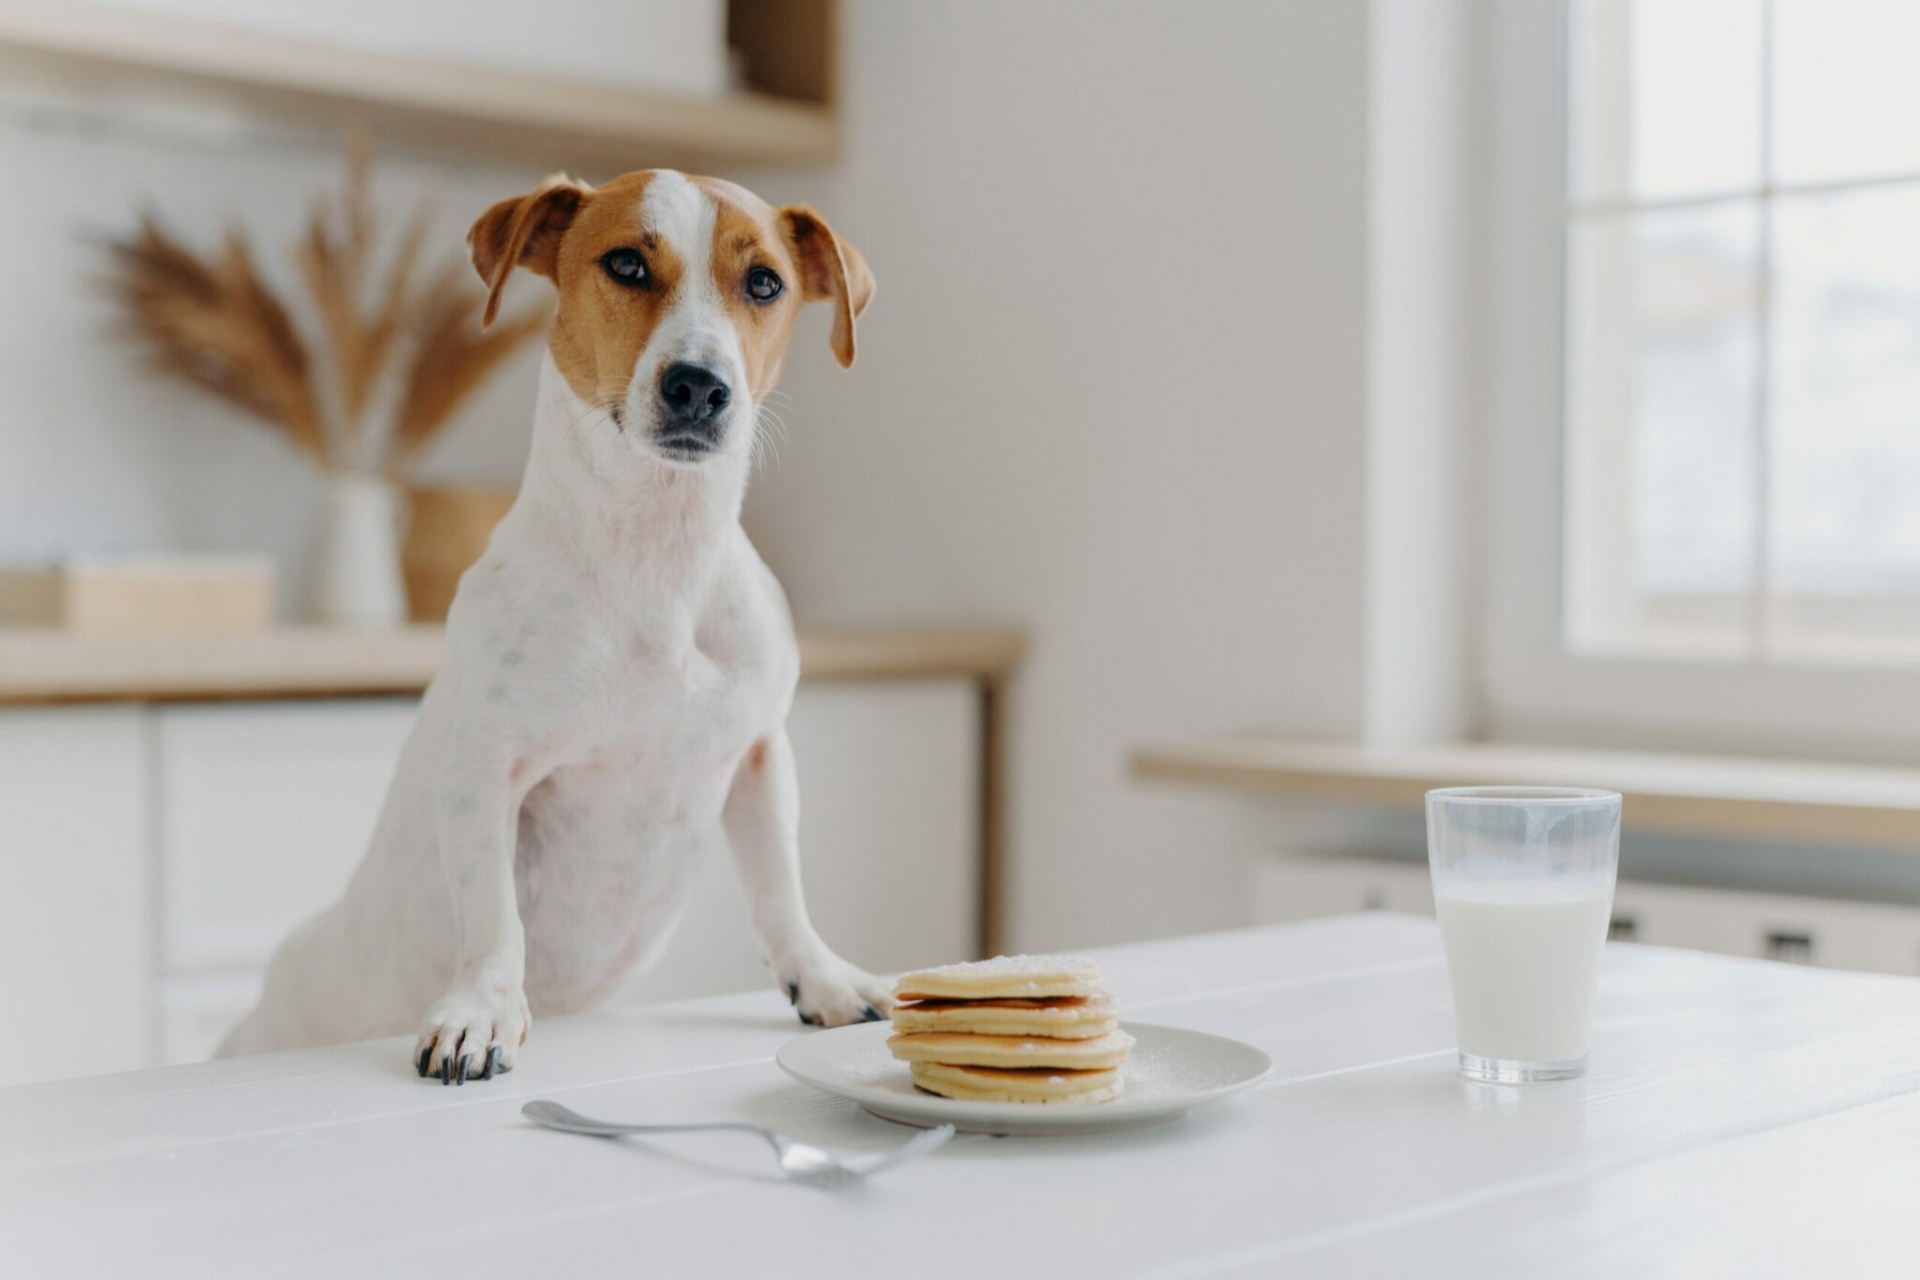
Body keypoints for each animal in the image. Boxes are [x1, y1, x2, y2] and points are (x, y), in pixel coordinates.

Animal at [214, 167, 887, 1082]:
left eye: (763, 283)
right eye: (627, 264)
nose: (699, 385)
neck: (658, 556)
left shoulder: (758, 754)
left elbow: (780, 887)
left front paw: (820, 979)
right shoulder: (489, 770)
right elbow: (493, 909)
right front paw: (480, 1014)